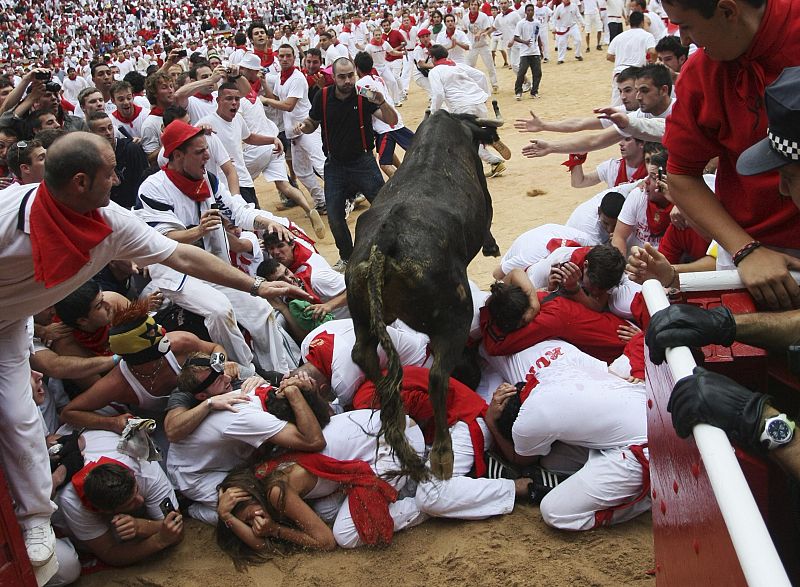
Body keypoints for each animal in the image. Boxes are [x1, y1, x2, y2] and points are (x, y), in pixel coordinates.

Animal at [346, 101, 510, 480]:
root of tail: (387, 239)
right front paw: (492, 246)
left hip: (360, 310)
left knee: (364, 356)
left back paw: (403, 432)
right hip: (455, 316)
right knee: (438, 376)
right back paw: (442, 455)